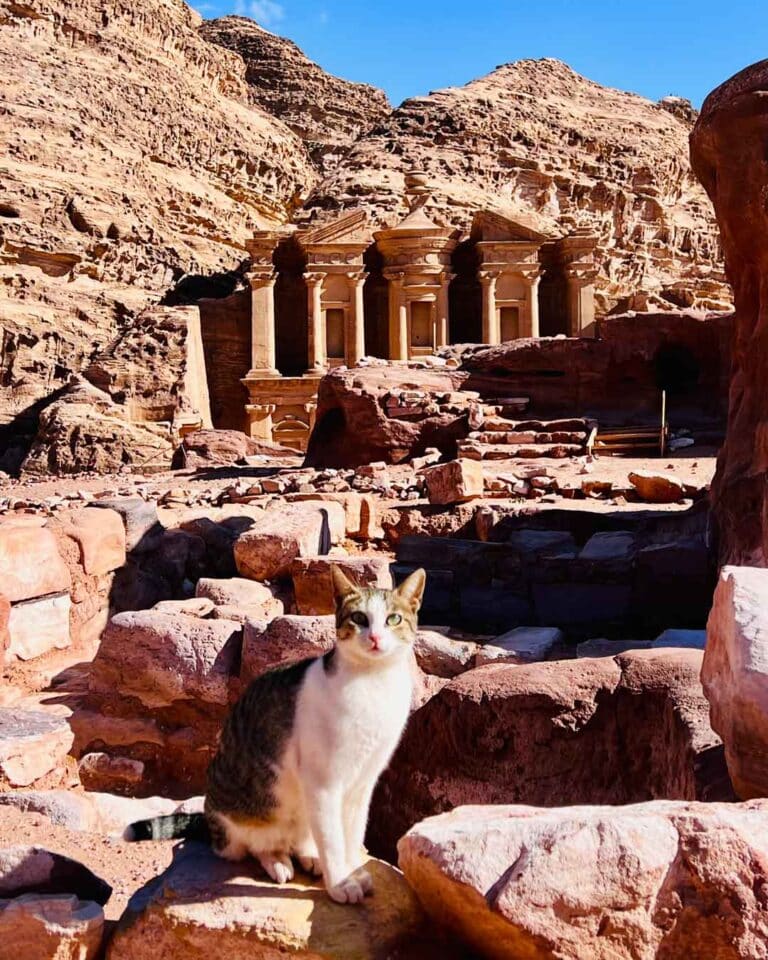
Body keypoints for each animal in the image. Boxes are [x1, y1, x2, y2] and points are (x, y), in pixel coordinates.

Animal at [126, 568, 426, 904]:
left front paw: (353, 870)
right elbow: (333, 840)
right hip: (250, 815)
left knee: (301, 838)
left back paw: (309, 855)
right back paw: (278, 860)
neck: (373, 684)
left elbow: (352, 833)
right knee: (256, 845)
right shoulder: (323, 783)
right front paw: (341, 883)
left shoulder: (363, 781)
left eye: (393, 619)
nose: (374, 638)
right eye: (359, 618)